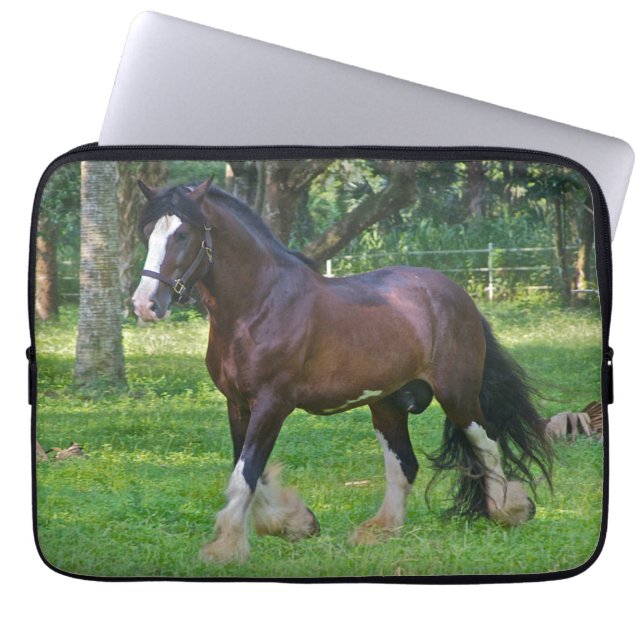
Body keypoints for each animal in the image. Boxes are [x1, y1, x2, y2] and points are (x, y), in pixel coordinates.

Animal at [131, 176, 552, 564]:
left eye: (182, 234)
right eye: (147, 233)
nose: (145, 305)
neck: (260, 305)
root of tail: (457, 294)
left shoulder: (272, 404)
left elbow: (245, 473)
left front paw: (226, 547)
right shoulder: (238, 403)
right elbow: (248, 468)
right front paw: (294, 522)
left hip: (457, 394)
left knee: (486, 444)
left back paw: (510, 510)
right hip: (387, 405)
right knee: (405, 465)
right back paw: (379, 531)